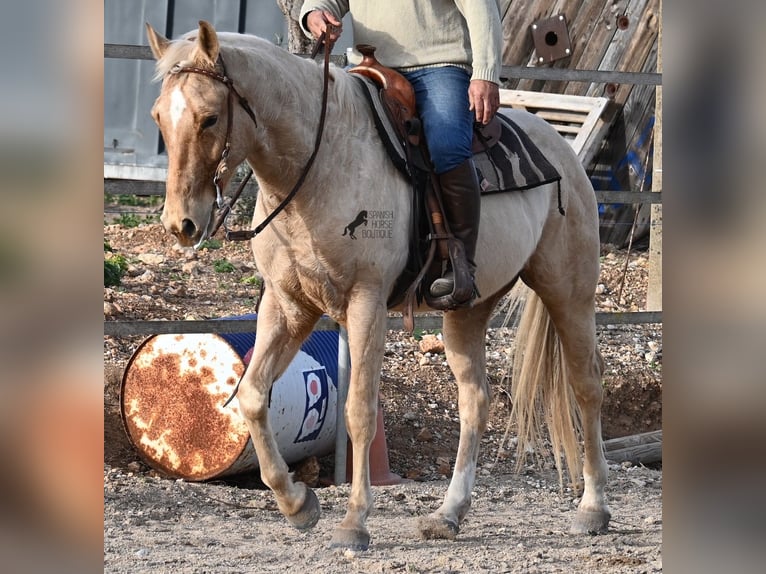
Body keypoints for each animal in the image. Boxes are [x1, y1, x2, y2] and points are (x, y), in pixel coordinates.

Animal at [145, 20, 610, 551]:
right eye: (159, 117)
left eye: (208, 119)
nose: (180, 223)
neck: (321, 164)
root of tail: (560, 150)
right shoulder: (288, 307)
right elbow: (251, 394)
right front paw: (298, 504)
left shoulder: (366, 303)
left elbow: (360, 411)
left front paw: (353, 523)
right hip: (468, 309)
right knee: (475, 399)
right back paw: (448, 514)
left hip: (569, 292)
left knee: (586, 385)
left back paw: (593, 509)